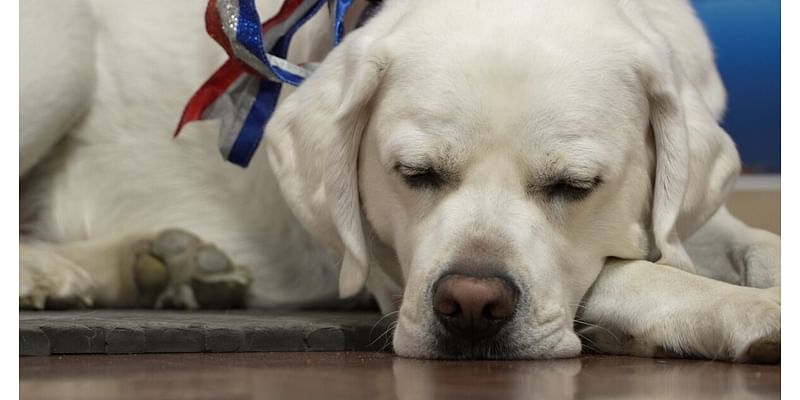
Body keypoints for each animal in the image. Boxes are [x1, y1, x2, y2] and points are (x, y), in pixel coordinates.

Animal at [20, 0, 780, 362]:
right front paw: (753, 314)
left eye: (575, 185)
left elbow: (747, 243)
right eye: (415, 174)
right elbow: (633, 273)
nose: (471, 306)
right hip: (59, 58)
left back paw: (163, 265)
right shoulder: (388, 270)